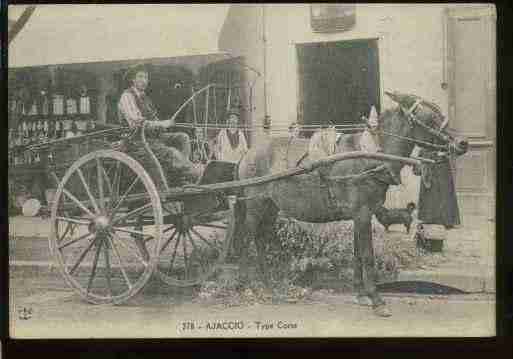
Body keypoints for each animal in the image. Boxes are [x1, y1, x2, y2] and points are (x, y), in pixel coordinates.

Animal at [233, 91, 468, 316]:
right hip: (256, 205)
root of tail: (247, 154)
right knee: (246, 239)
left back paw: (267, 282)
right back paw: (248, 284)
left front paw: (361, 294)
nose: (462, 143)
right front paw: (377, 299)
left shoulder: (360, 214)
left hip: (271, 207)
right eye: (431, 119)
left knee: (261, 239)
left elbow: (357, 254)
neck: (372, 155)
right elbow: (368, 255)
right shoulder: (362, 213)